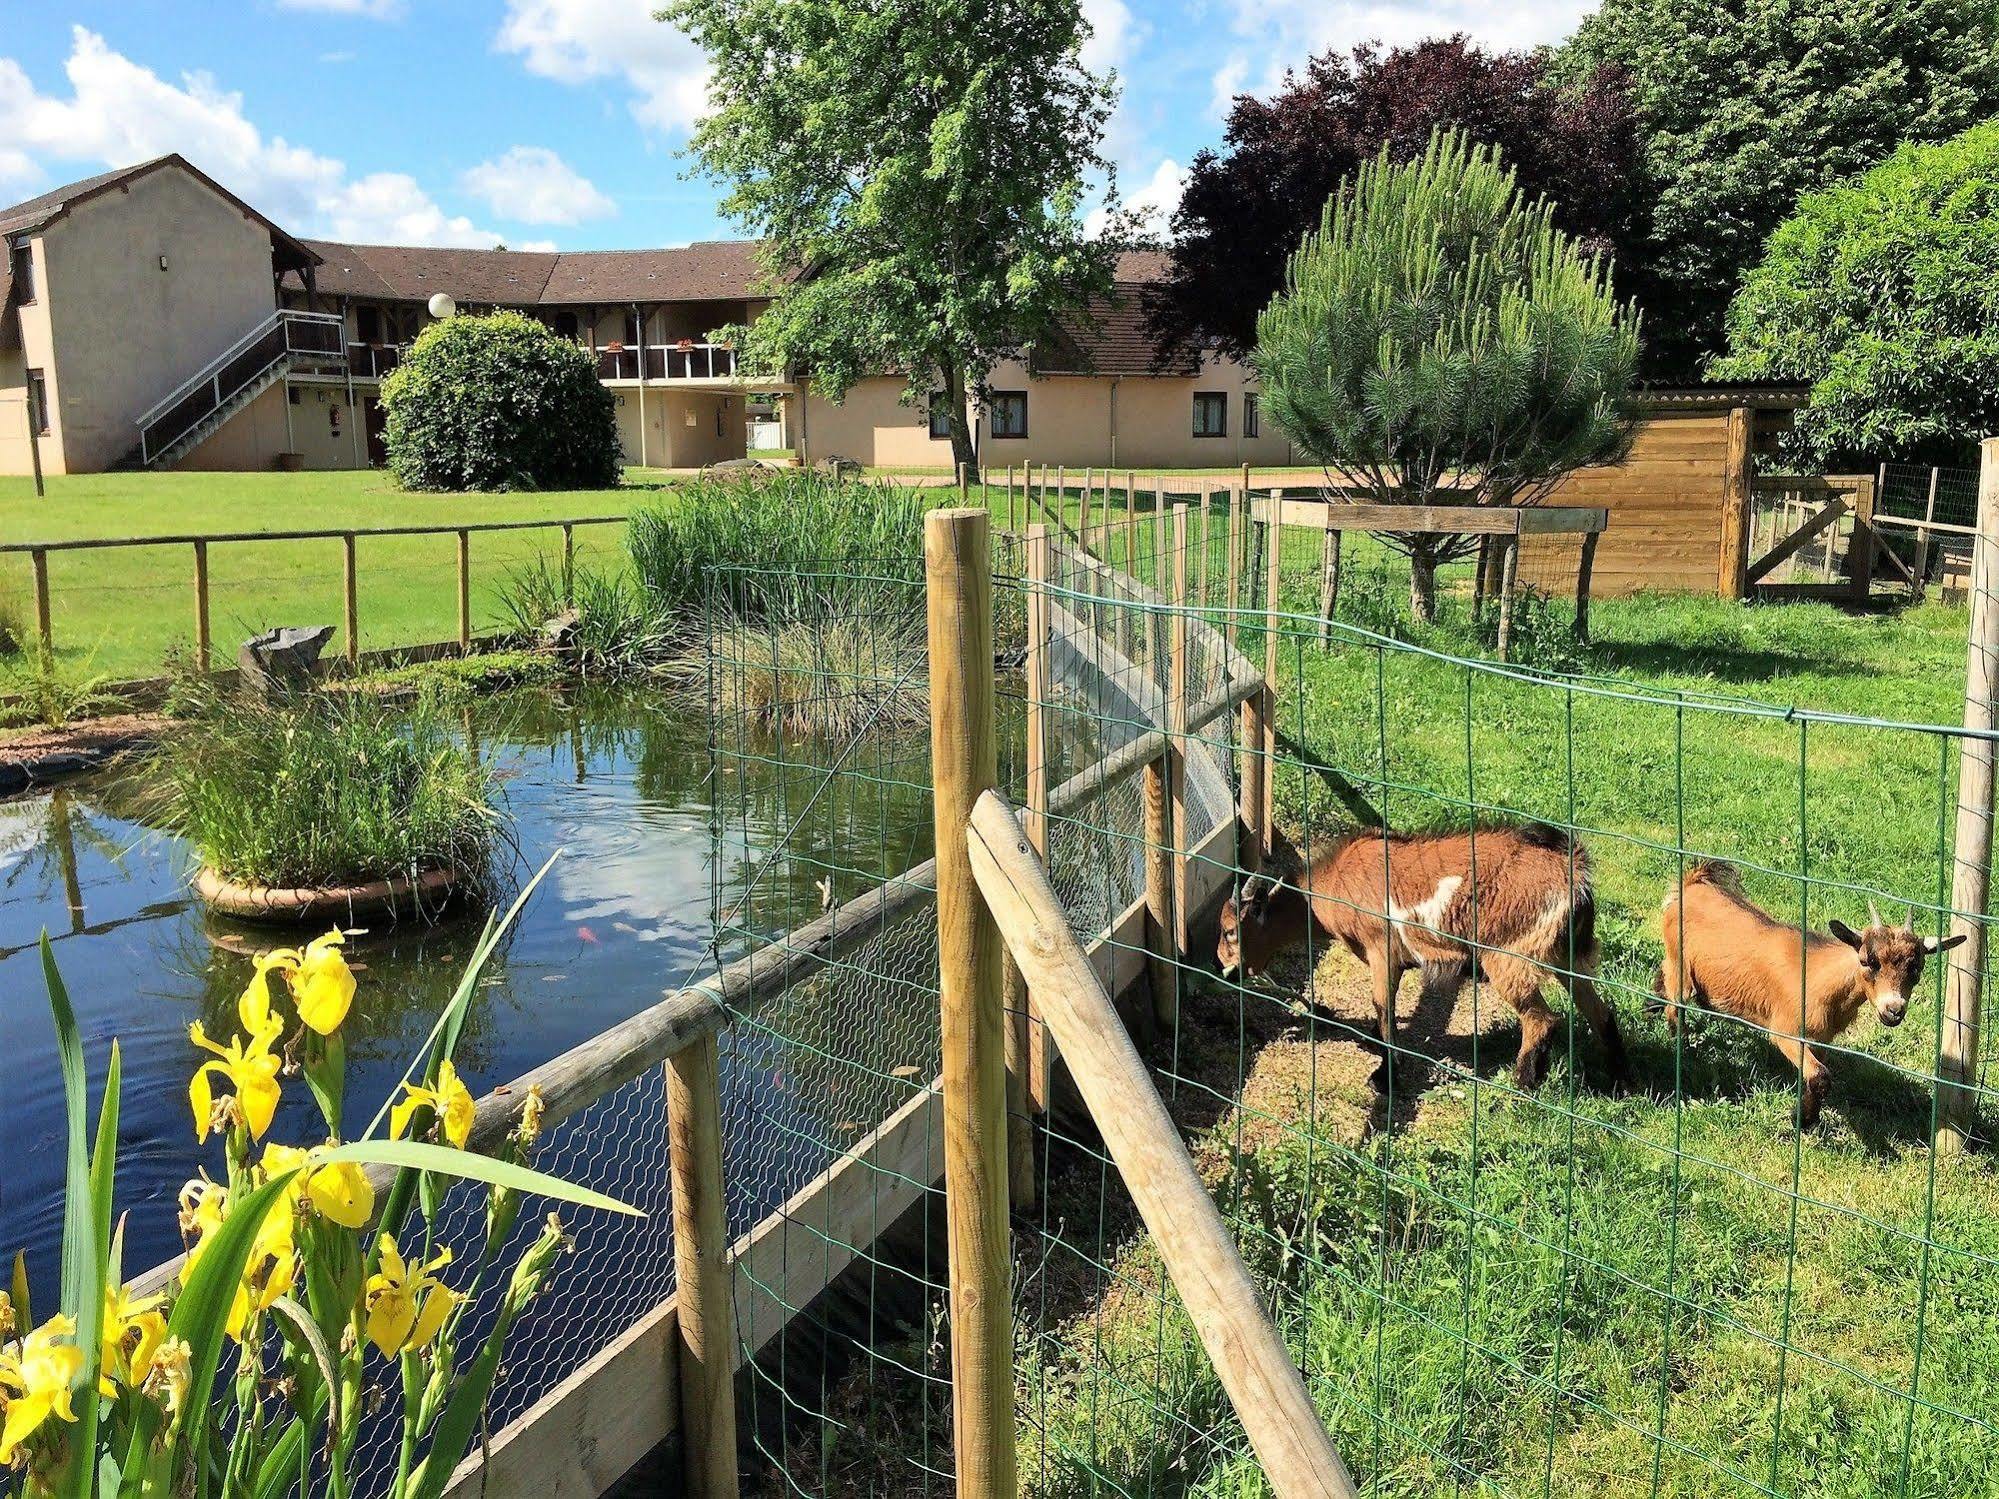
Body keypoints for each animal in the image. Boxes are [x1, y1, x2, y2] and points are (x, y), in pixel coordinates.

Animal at [1215, 823, 1623, 1095]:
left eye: (1230, 931)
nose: (1220, 962)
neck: (1331, 889)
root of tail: (1575, 873)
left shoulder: (1381, 948)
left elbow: (1383, 1008)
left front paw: (1384, 1078)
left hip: (1507, 953)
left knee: (1541, 1019)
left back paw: (1521, 1085)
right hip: (1563, 952)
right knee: (1599, 1010)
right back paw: (1617, 1078)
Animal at [1655, 867, 1967, 1127]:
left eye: (1917, 968)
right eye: (1868, 961)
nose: (1894, 1009)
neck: (1819, 978)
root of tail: (1692, 882)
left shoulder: (1820, 1039)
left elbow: (1818, 1075)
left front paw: (1808, 1115)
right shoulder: (1786, 1030)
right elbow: (1820, 1075)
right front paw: (1800, 1119)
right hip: (1678, 961)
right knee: (1675, 1003)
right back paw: (1681, 1044)